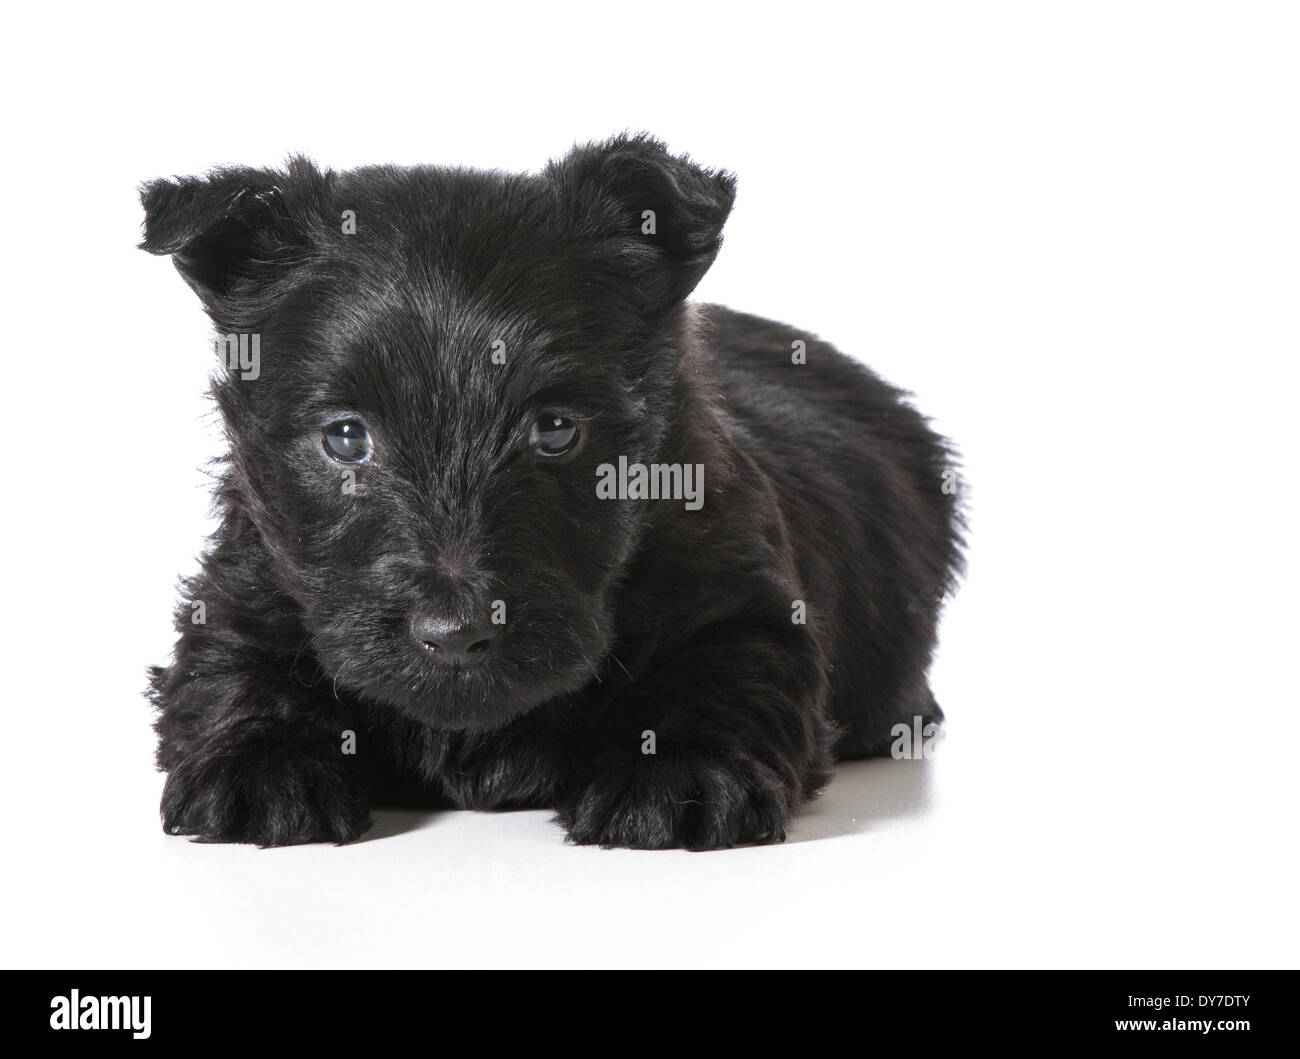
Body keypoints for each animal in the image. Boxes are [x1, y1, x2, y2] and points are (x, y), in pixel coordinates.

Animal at [139, 134, 967, 852]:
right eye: (345, 438)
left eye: (557, 430)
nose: (456, 632)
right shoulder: (246, 577)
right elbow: (233, 662)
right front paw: (261, 765)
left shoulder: (744, 593)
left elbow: (725, 669)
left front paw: (679, 773)